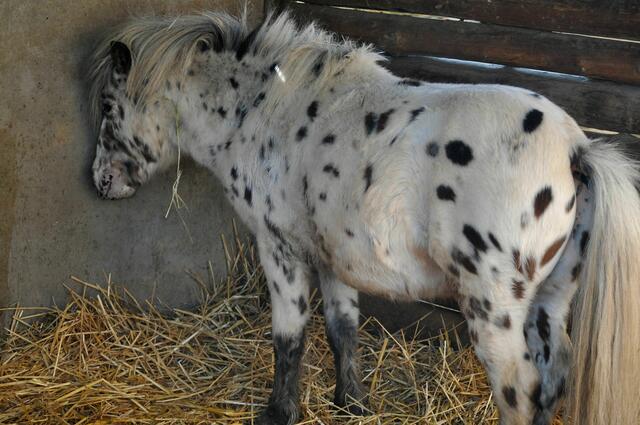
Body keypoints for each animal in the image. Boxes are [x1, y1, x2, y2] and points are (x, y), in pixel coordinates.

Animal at [86, 10, 640, 425]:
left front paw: (278, 413)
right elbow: (342, 328)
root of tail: (575, 149)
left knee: (519, 390)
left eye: (109, 105)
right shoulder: (333, 256)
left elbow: (289, 337)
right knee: (553, 375)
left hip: (494, 308)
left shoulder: (278, 248)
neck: (264, 111)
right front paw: (350, 402)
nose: (101, 182)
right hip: (550, 300)